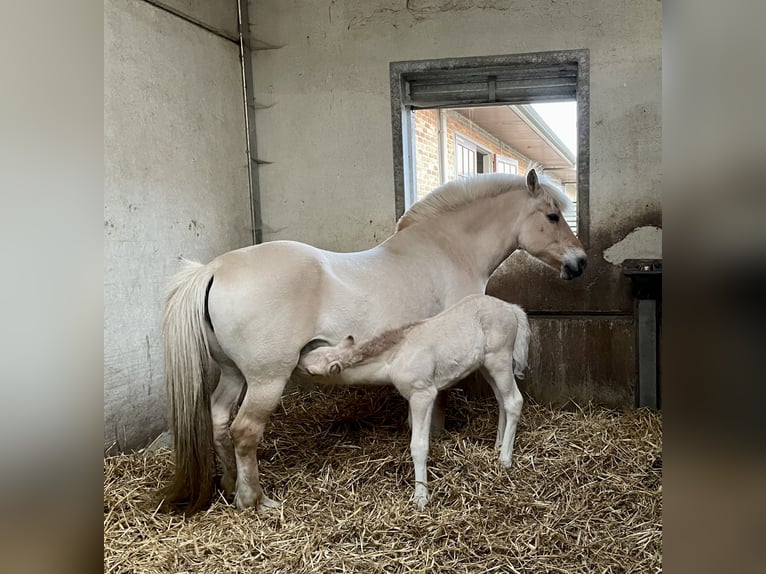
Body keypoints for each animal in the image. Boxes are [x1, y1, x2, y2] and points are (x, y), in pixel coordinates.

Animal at [302, 294, 536, 510]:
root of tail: (511, 308)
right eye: (314, 352)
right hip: (486, 364)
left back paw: (505, 460)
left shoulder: (422, 394)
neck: (394, 358)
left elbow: (419, 445)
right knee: (501, 399)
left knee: (513, 401)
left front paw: (421, 498)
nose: (298, 361)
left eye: (310, 371)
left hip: (500, 358)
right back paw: (498, 445)